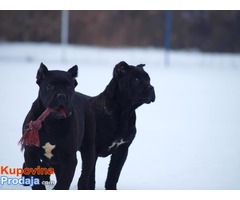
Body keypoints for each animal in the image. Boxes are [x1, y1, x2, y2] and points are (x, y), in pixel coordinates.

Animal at [87, 61, 155, 189]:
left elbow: (113, 176)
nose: (151, 88)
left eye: (149, 79)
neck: (124, 114)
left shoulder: (122, 151)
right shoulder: (92, 152)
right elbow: (89, 179)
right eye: (136, 79)